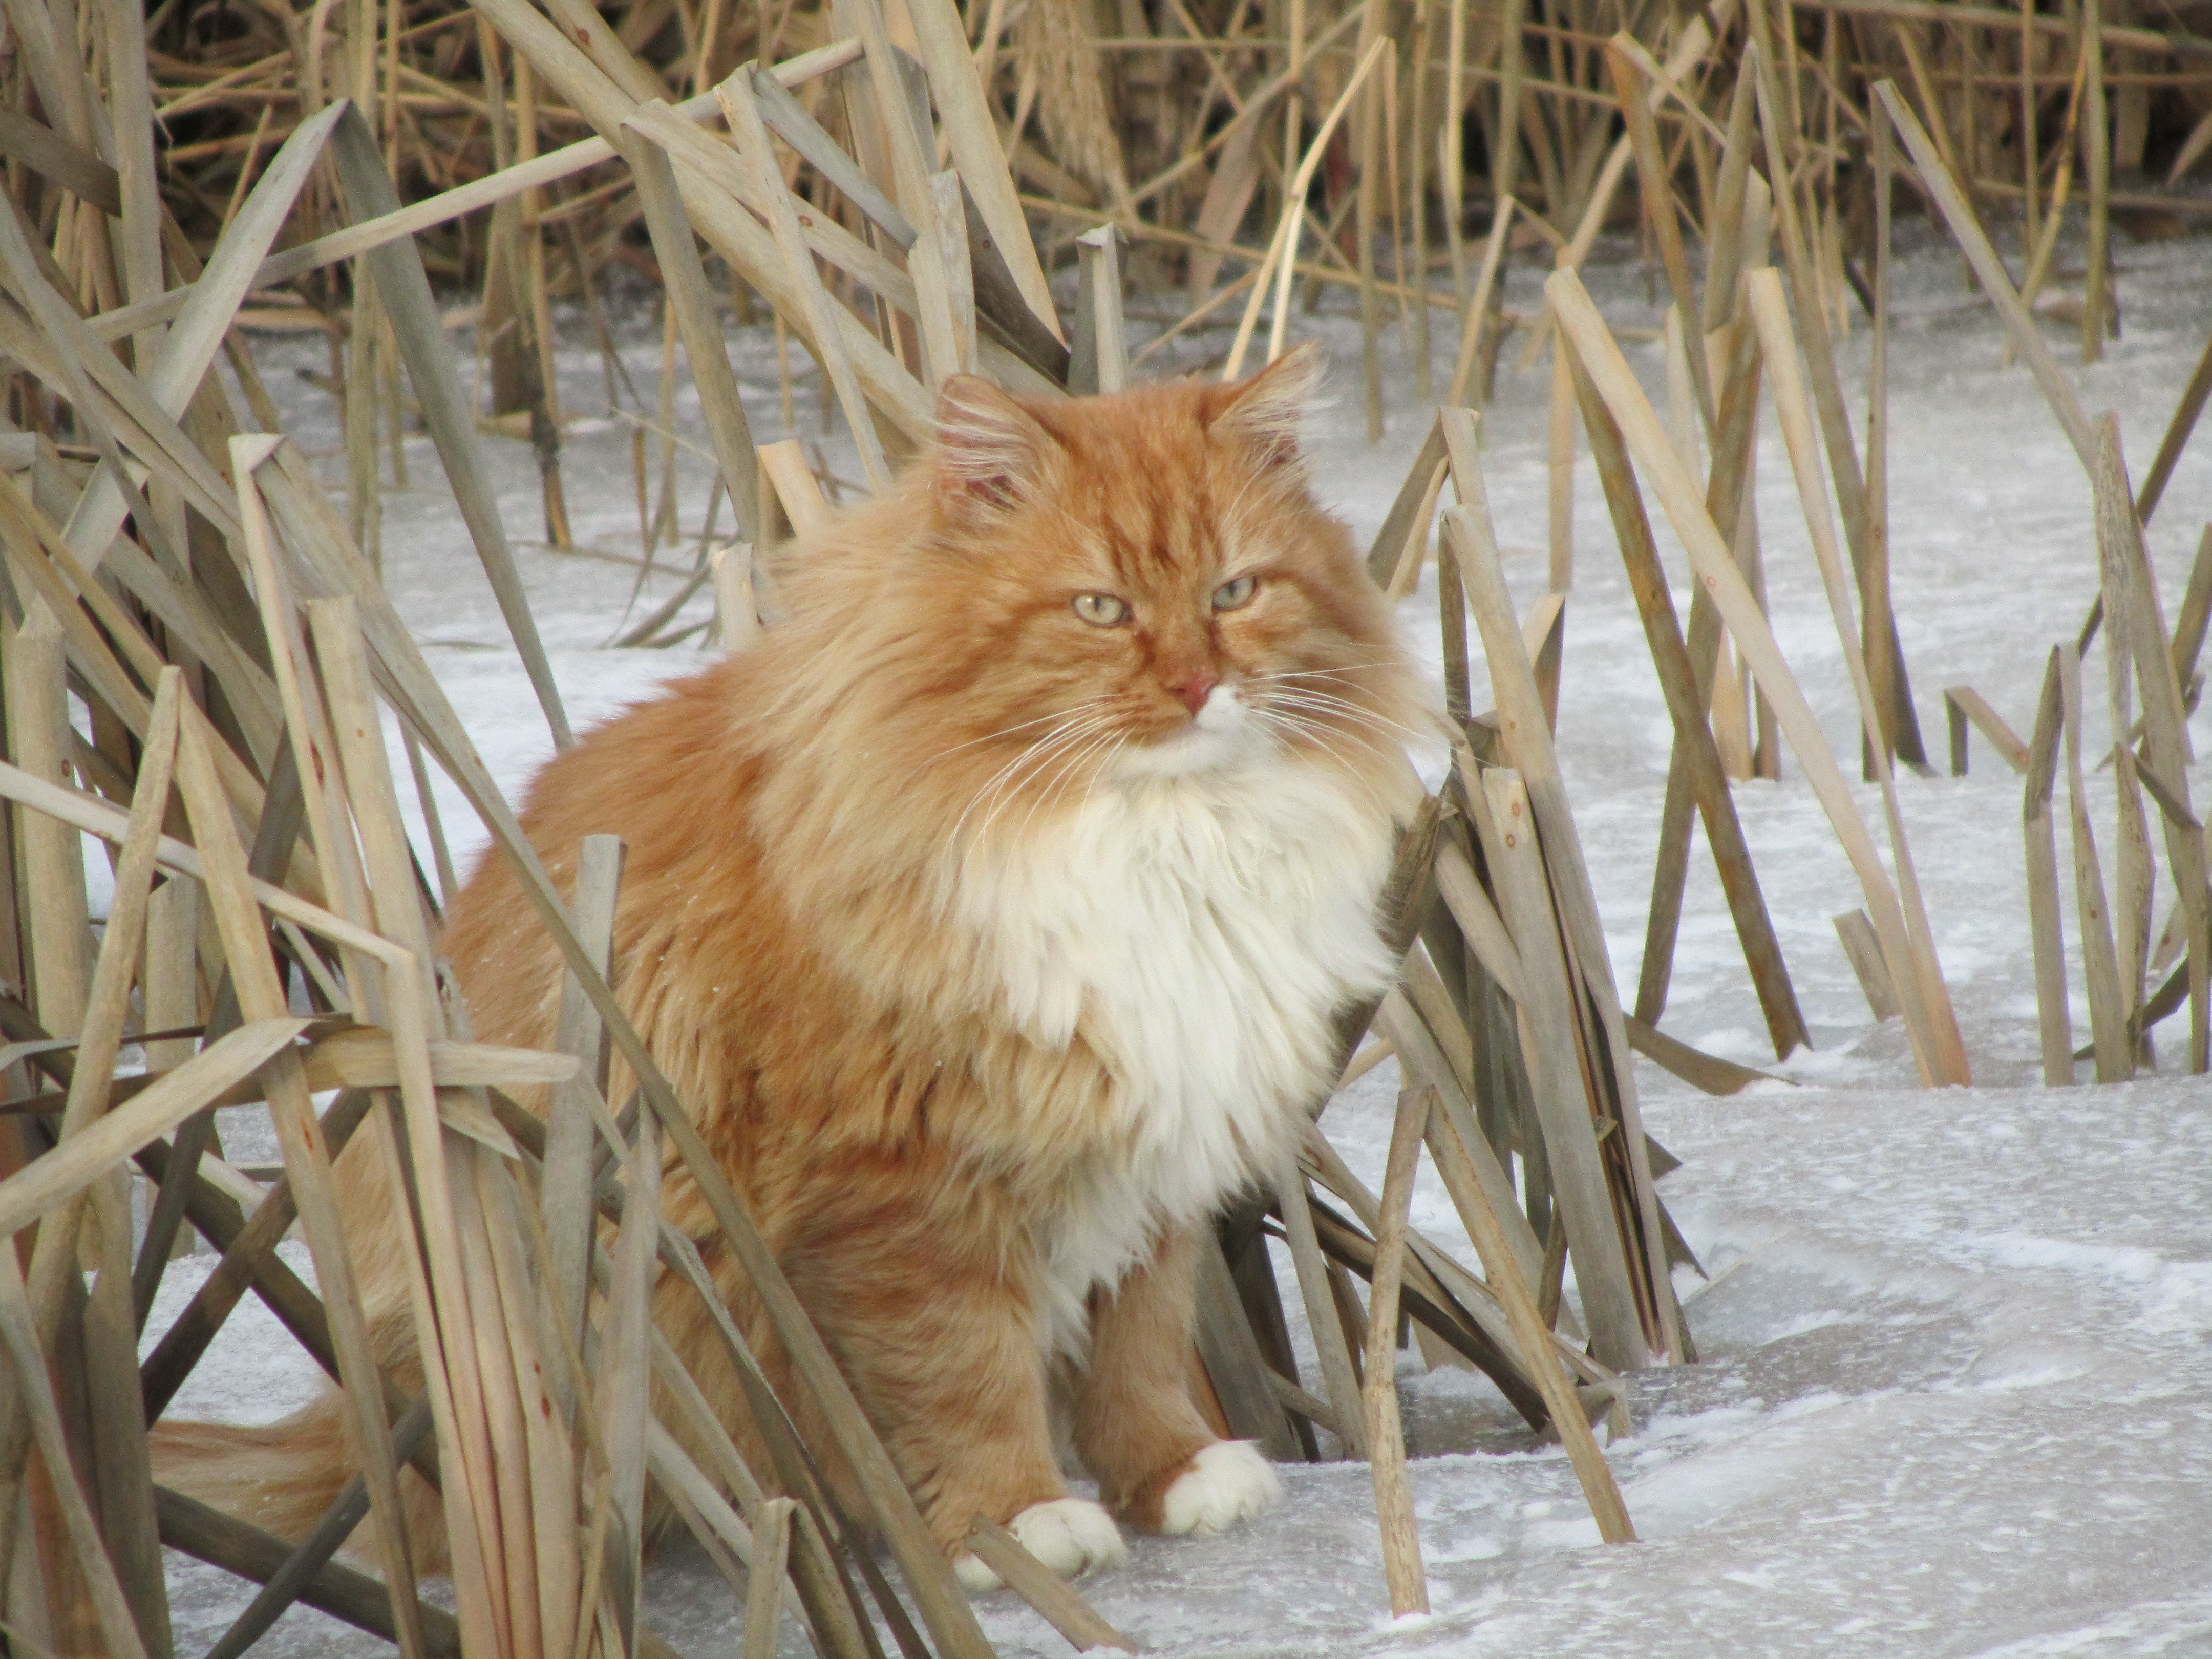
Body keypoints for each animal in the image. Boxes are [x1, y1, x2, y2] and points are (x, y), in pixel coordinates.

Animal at [163, 347, 1424, 1601]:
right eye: (1101, 609)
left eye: (1233, 594)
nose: (1199, 686)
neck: (1163, 841)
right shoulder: (904, 1187)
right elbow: (965, 1378)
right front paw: (1020, 1524)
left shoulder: (1155, 1153)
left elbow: (1140, 1347)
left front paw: (1175, 1476)